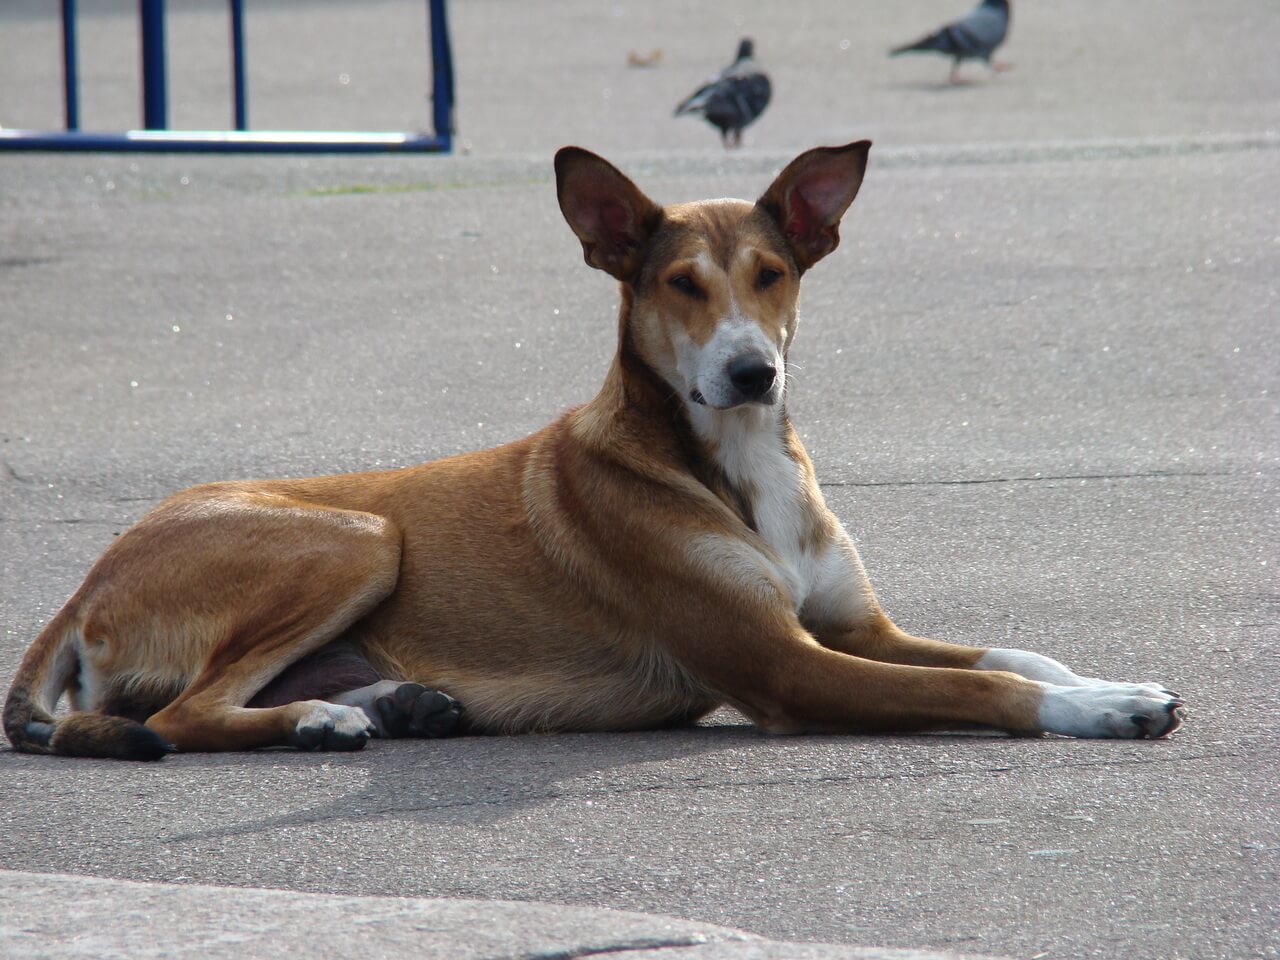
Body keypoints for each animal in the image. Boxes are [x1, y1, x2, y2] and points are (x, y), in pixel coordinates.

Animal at [0, 142, 1182, 762]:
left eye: (772, 274)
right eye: (680, 284)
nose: (752, 373)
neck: (732, 463)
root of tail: (91, 576)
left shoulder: (856, 629)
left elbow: (1008, 655)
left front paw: (1104, 677)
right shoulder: (789, 666)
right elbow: (984, 692)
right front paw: (1098, 710)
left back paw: (382, 704)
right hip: (357, 535)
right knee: (182, 713)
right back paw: (321, 718)